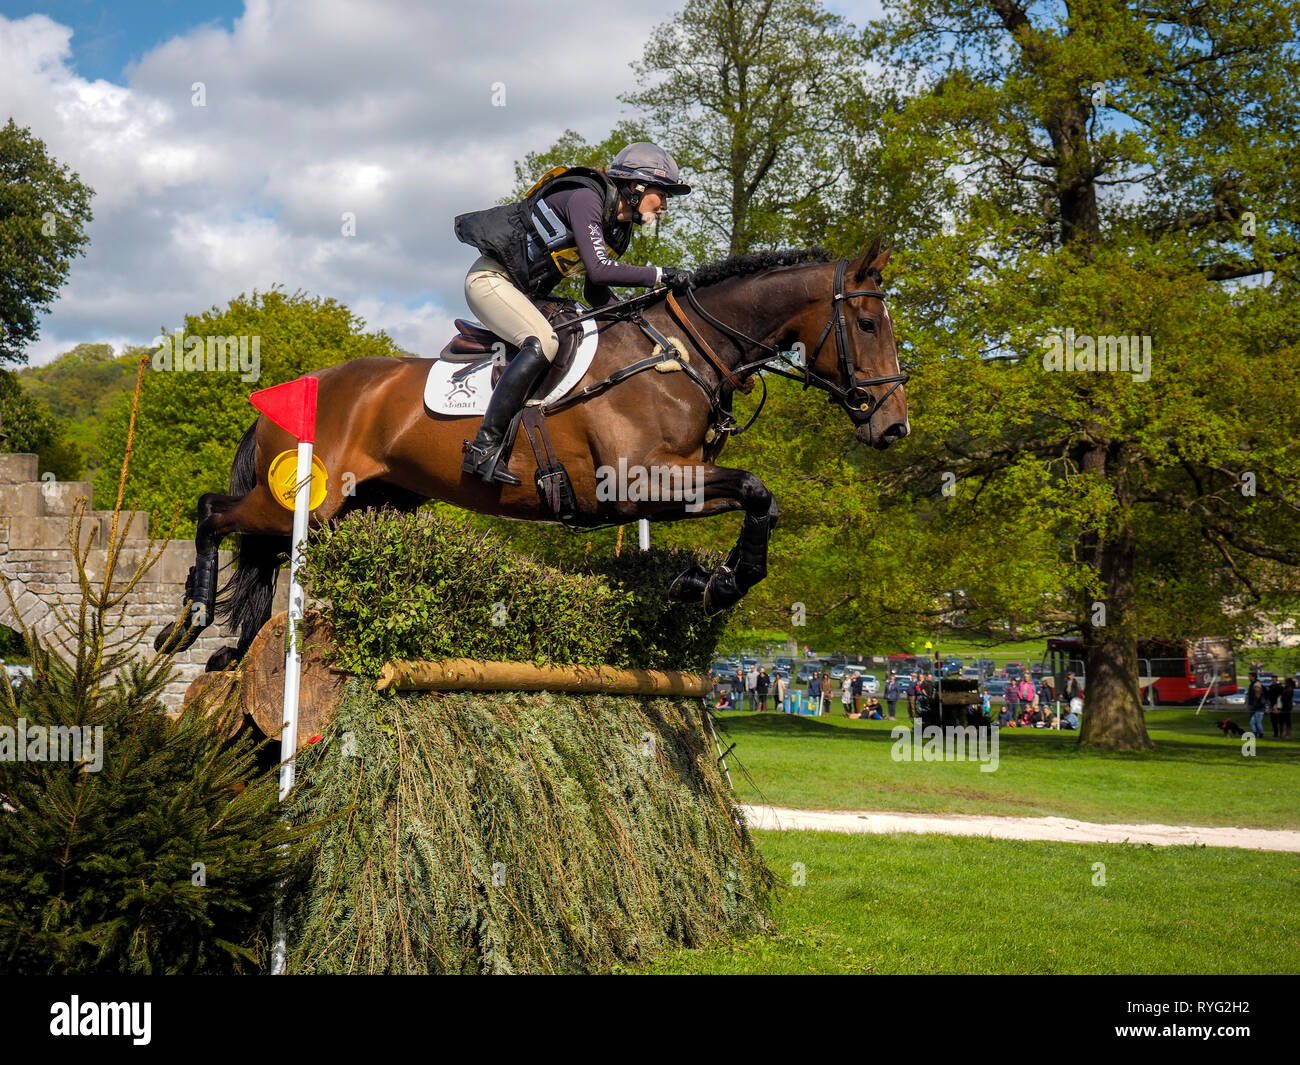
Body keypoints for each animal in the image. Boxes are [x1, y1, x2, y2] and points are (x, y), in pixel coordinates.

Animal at [154, 241, 910, 671]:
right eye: (868, 322)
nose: (894, 427)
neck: (681, 354)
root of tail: (299, 393)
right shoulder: (632, 483)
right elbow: (755, 488)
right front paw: (713, 583)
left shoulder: (675, 483)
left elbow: (760, 498)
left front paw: (705, 582)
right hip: (303, 500)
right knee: (214, 512)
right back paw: (187, 625)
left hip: (363, 507)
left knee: (254, 542)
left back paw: (229, 643)